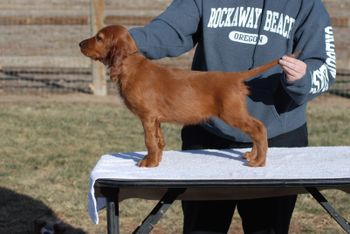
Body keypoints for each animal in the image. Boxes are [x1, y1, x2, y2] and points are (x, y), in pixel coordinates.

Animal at [79, 24, 278, 167]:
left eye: (99, 38)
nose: (80, 44)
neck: (132, 66)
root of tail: (234, 76)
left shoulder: (147, 116)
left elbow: (149, 140)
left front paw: (149, 163)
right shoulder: (155, 119)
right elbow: (159, 140)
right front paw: (156, 159)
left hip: (231, 113)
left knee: (259, 128)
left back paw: (259, 161)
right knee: (256, 128)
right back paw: (252, 155)